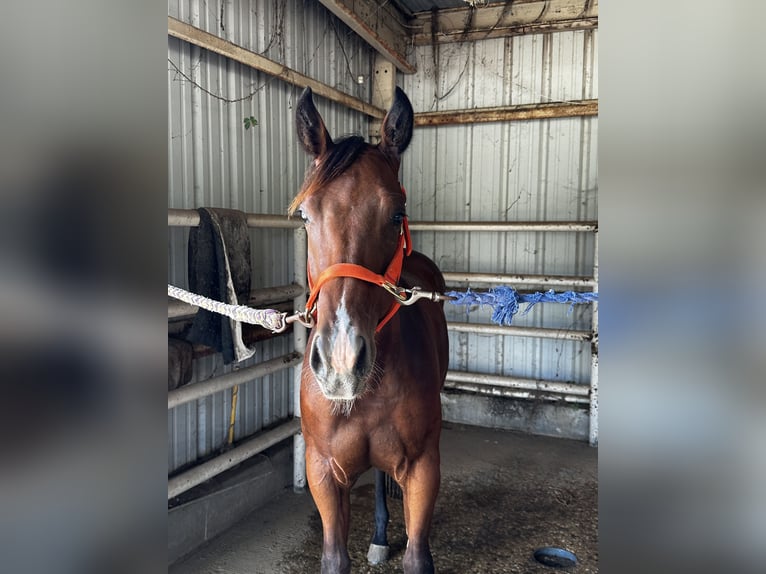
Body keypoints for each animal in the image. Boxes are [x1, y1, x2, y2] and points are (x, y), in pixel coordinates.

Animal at [292, 86, 450, 574]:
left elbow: (418, 558)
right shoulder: (323, 472)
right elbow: (333, 558)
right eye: (305, 216)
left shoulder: (423, 469)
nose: (341, 364)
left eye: (397, 214)